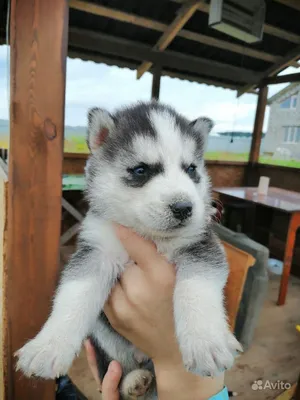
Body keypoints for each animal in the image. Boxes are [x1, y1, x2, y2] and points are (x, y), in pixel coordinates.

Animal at [15, 101, 241, 398]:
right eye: (141, 170)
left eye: (191, 169)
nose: (184, 208)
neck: (150, 235)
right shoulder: (96, 251)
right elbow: (74, 297)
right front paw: (48, 347)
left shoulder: (201, 244)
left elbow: (196, 289)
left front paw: (207, 342)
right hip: (103, 334)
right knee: (118, 365)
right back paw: (133, 381)